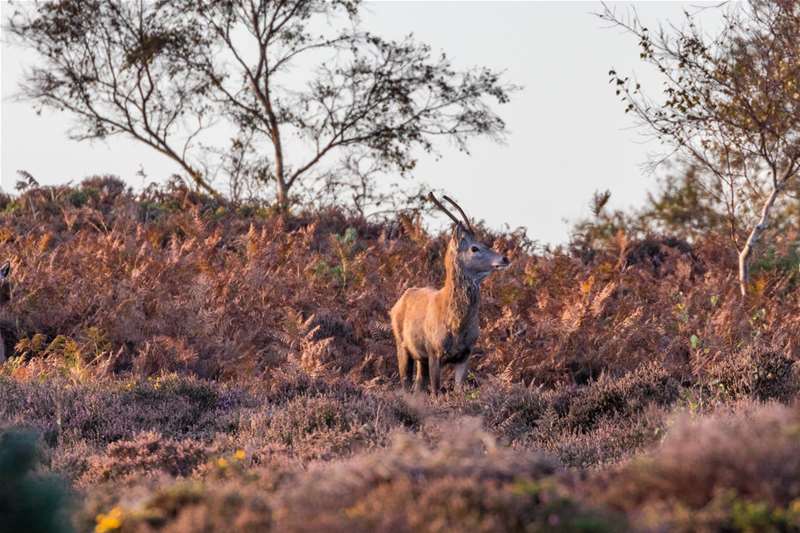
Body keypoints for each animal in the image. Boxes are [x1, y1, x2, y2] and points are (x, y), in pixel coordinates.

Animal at [390, 193, 510, 394]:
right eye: (474, 248)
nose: (505, 258)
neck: (456, 325)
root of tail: (396, 304)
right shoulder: (433, 350)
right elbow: (436, 393)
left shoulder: (466, 353)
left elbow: (458, 390)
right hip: (402, 344)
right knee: (406, 383)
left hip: (420, 358)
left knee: (418, 385)